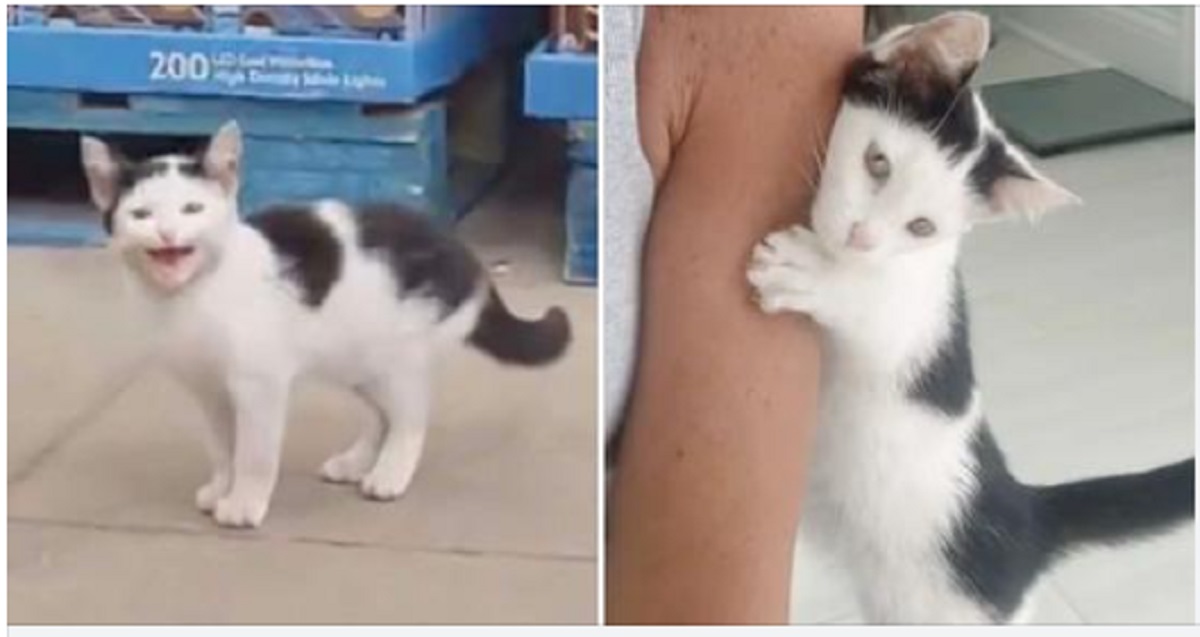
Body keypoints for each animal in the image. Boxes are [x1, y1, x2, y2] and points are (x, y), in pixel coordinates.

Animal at [84, 119, 571, 527]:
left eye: (191, 209)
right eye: (141, 215)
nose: (166, 233)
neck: (191, 297)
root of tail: (462, 251)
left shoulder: (260, 385)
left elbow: (254, 454)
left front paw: (244, 502)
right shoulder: (209, 391)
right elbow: (222, 448)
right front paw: (221, 487)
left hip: (401, 359)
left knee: (410, 418)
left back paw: (390, 473)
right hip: (360, 361)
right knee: (382, 415)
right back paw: (356, 462)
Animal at [748, 12, 1190, 623]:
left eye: (922, 227)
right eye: (877, 163)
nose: (862, 237)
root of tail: (1030, 517)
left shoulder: (913, 312)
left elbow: (874, 307)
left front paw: (808, 271)